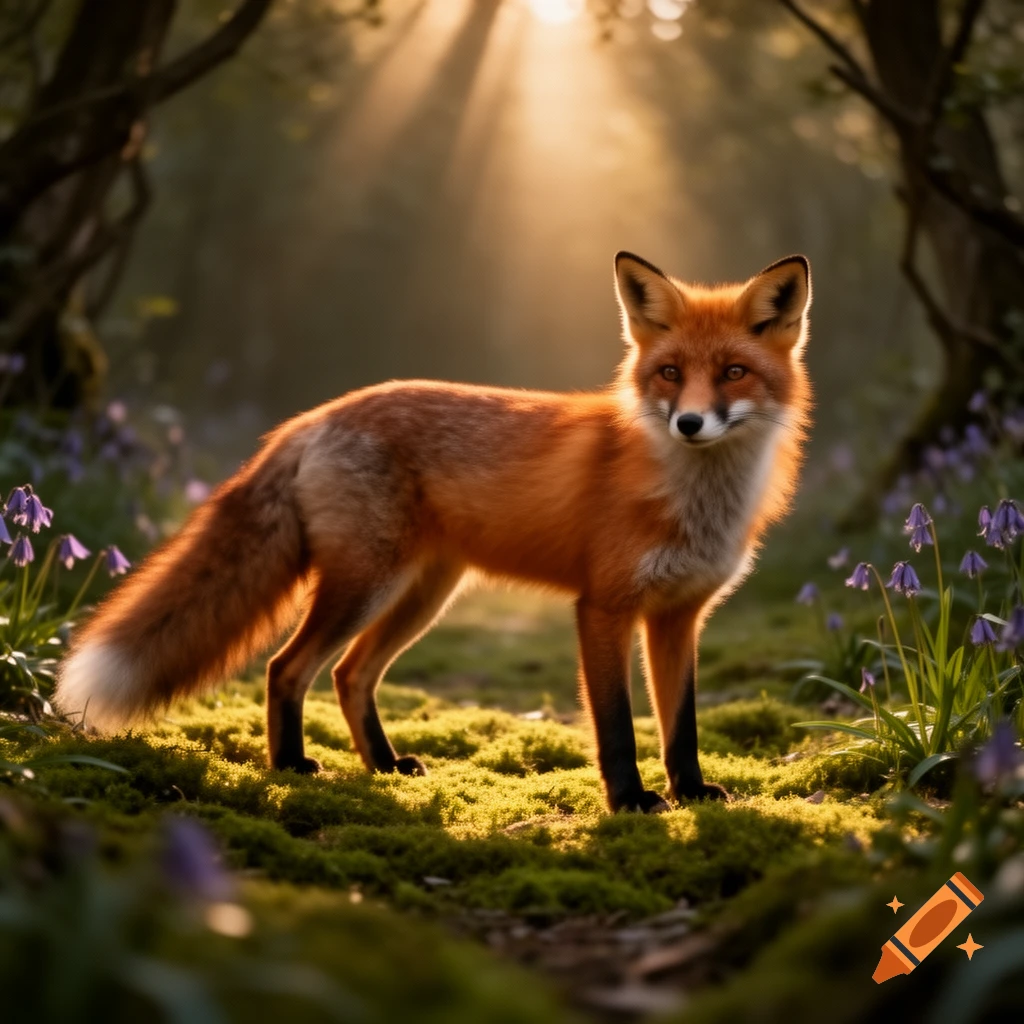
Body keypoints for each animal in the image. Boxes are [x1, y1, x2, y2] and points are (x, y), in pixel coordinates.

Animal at [55, 252, 811, 813]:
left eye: (734, 372)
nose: (689, 423)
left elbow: (681, 724)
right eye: (670, 373)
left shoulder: (679, 615)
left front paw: (691, 792)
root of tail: (316, 416)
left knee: (350, 673)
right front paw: (630, 803)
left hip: (421, 596)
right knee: (287, 668)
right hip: (366, 584)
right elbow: (618, 727)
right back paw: (292, 766)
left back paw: (385, 767)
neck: (690, 496)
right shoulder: (603, 607)